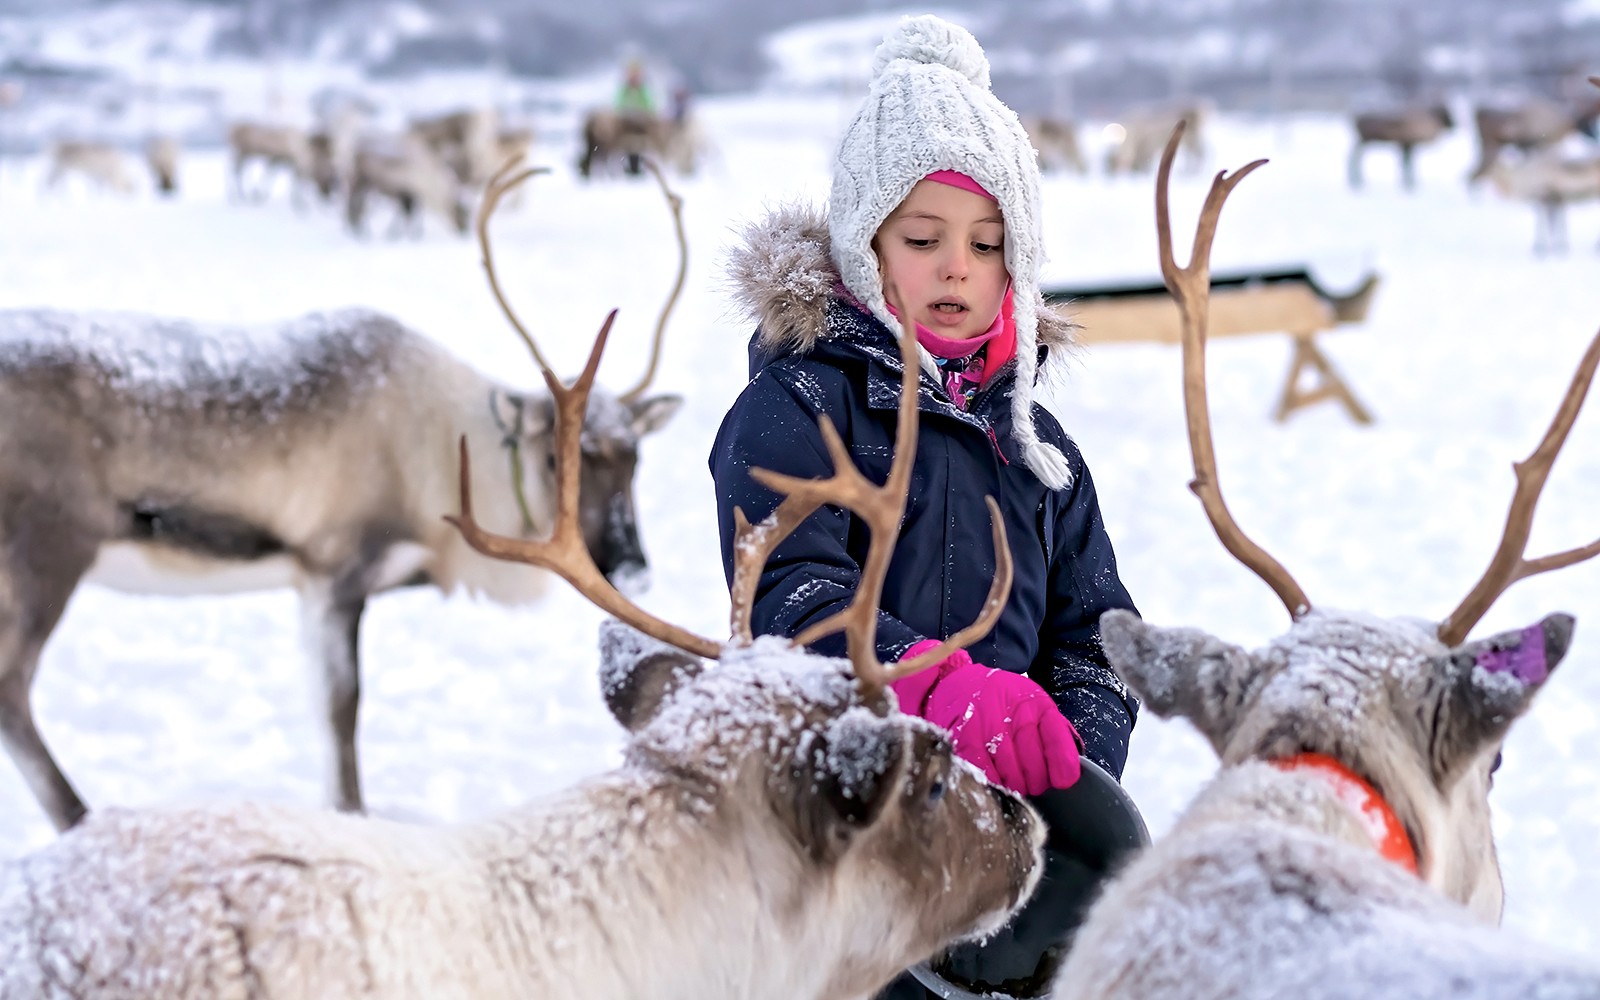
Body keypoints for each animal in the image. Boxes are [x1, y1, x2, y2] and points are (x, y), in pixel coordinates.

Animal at [0, 159, 688, 834]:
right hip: (47, 555)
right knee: (12, 689)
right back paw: (79, 818)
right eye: (554, 456)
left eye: (635, 456)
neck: (445, 461)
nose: (632, 566)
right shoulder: (335, 570)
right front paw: (352, 814)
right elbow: (342, 709)